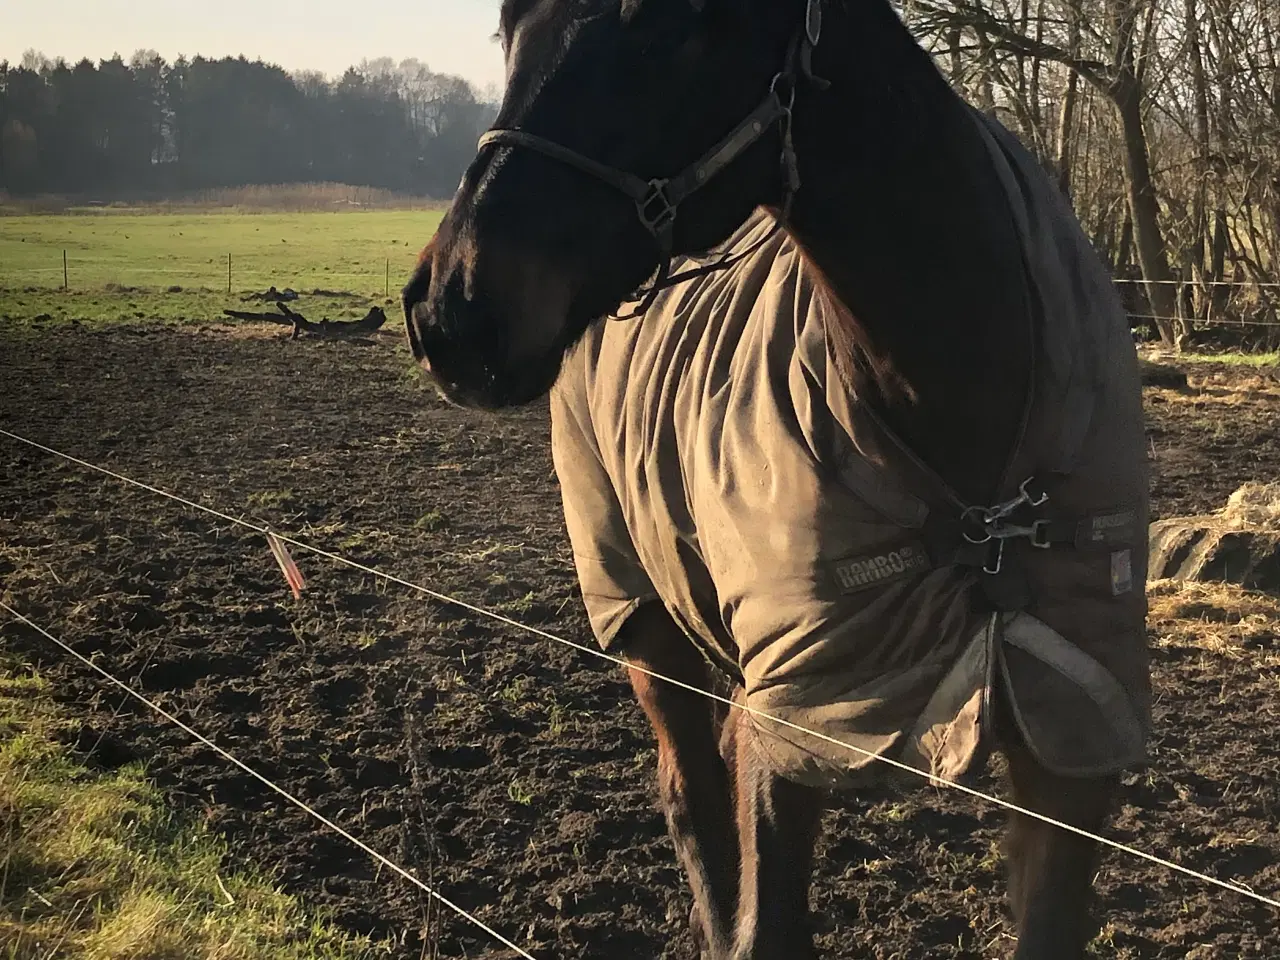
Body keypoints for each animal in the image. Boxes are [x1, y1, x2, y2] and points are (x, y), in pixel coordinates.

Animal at [401, 3, 1152, 957]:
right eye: (510, 28)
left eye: (669, 28)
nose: (447, 309)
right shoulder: (795, 723)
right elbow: (767, 915)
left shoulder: (1072, 734)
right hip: (640, 610)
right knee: (690, 797)